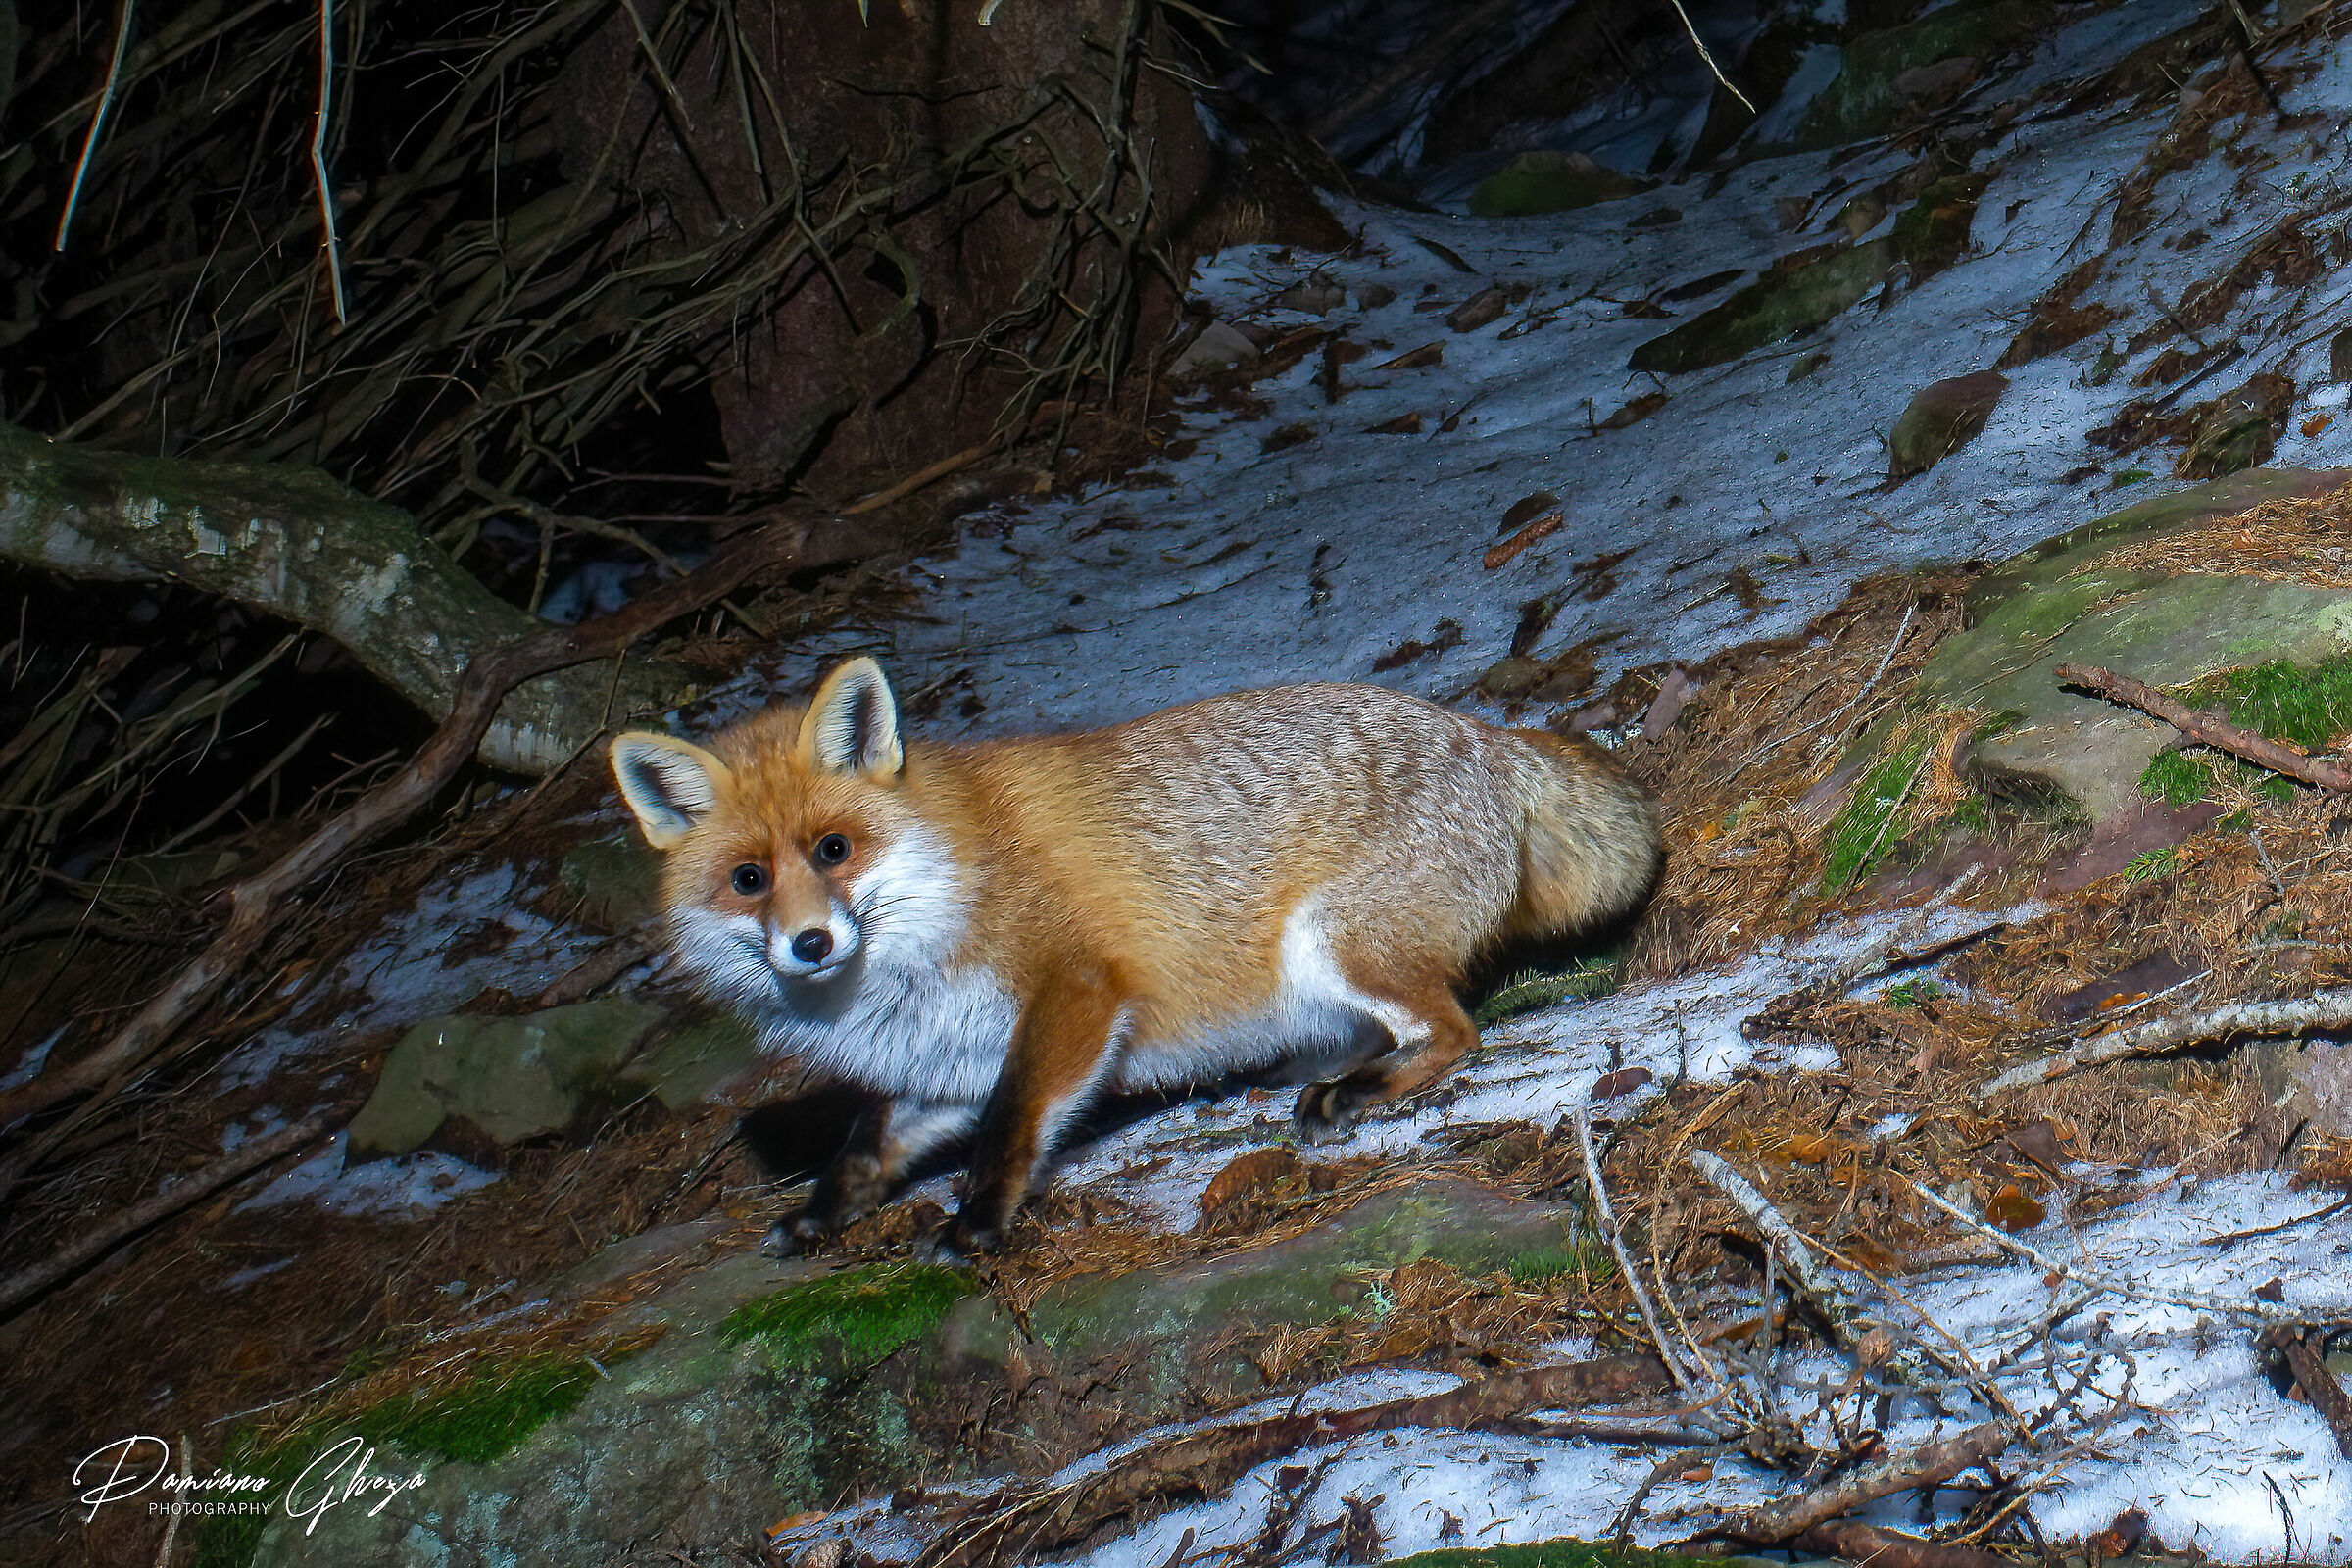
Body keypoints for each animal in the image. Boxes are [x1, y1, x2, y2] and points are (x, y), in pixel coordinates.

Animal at [610, 657, 1658, 1258]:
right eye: (748, 879)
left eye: (834, 850)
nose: (811, 943)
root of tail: (1483, 733)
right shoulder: (946, 1059)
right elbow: (866, 1146)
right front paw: (823, 1216)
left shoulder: (1074, 994)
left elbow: (1012, 1122)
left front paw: (977, 1226)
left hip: (1334, 946)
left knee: (1455, 1031)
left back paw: (1354, 1090)